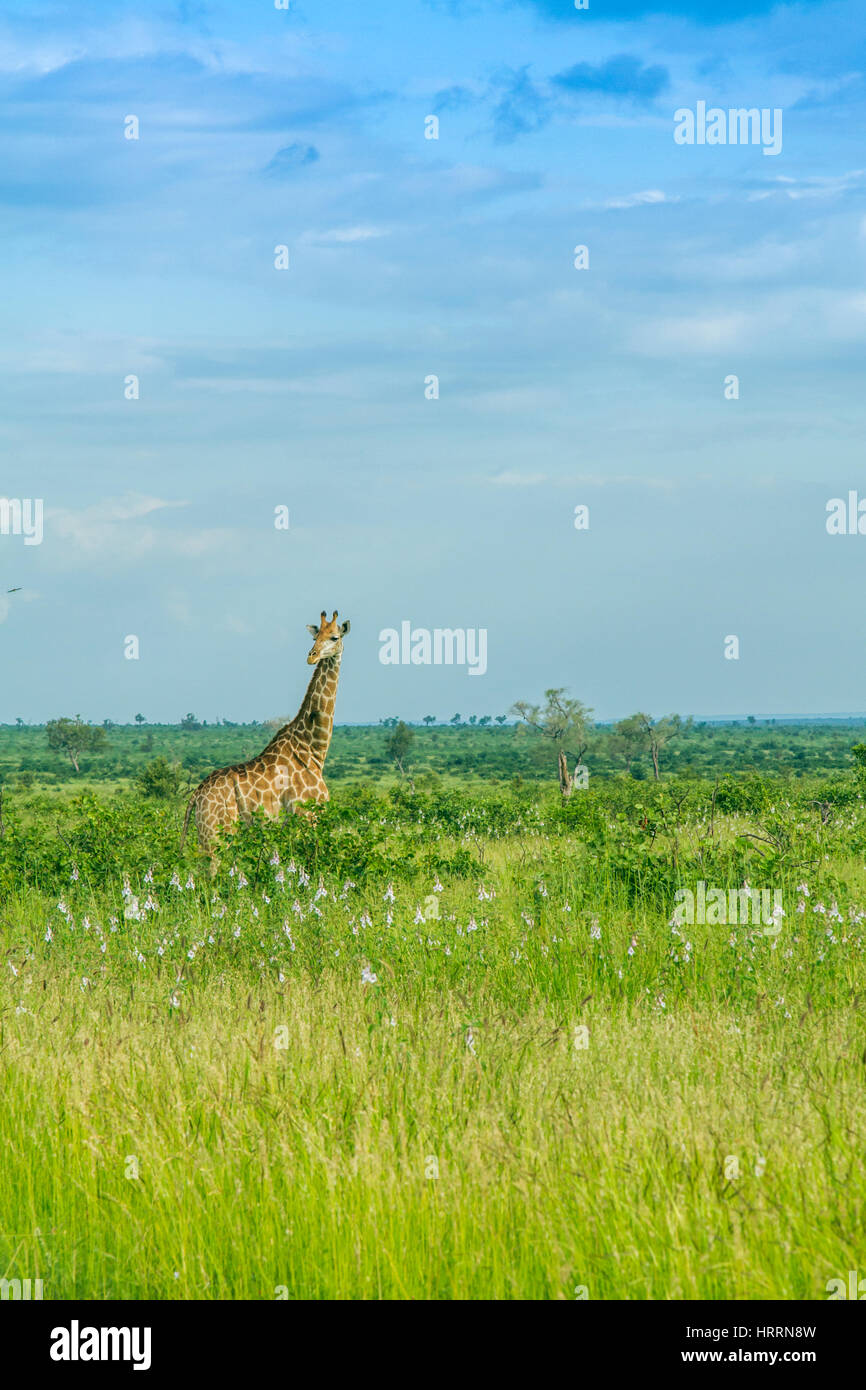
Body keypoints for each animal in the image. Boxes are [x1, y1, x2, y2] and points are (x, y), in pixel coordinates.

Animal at [180, 611, 350, 867]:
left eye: (334, 637)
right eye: (315, 637)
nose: (311, 656)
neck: (312, 749)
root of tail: (196, 795)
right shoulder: (307, 816)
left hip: (205, 835)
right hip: (217, 836)